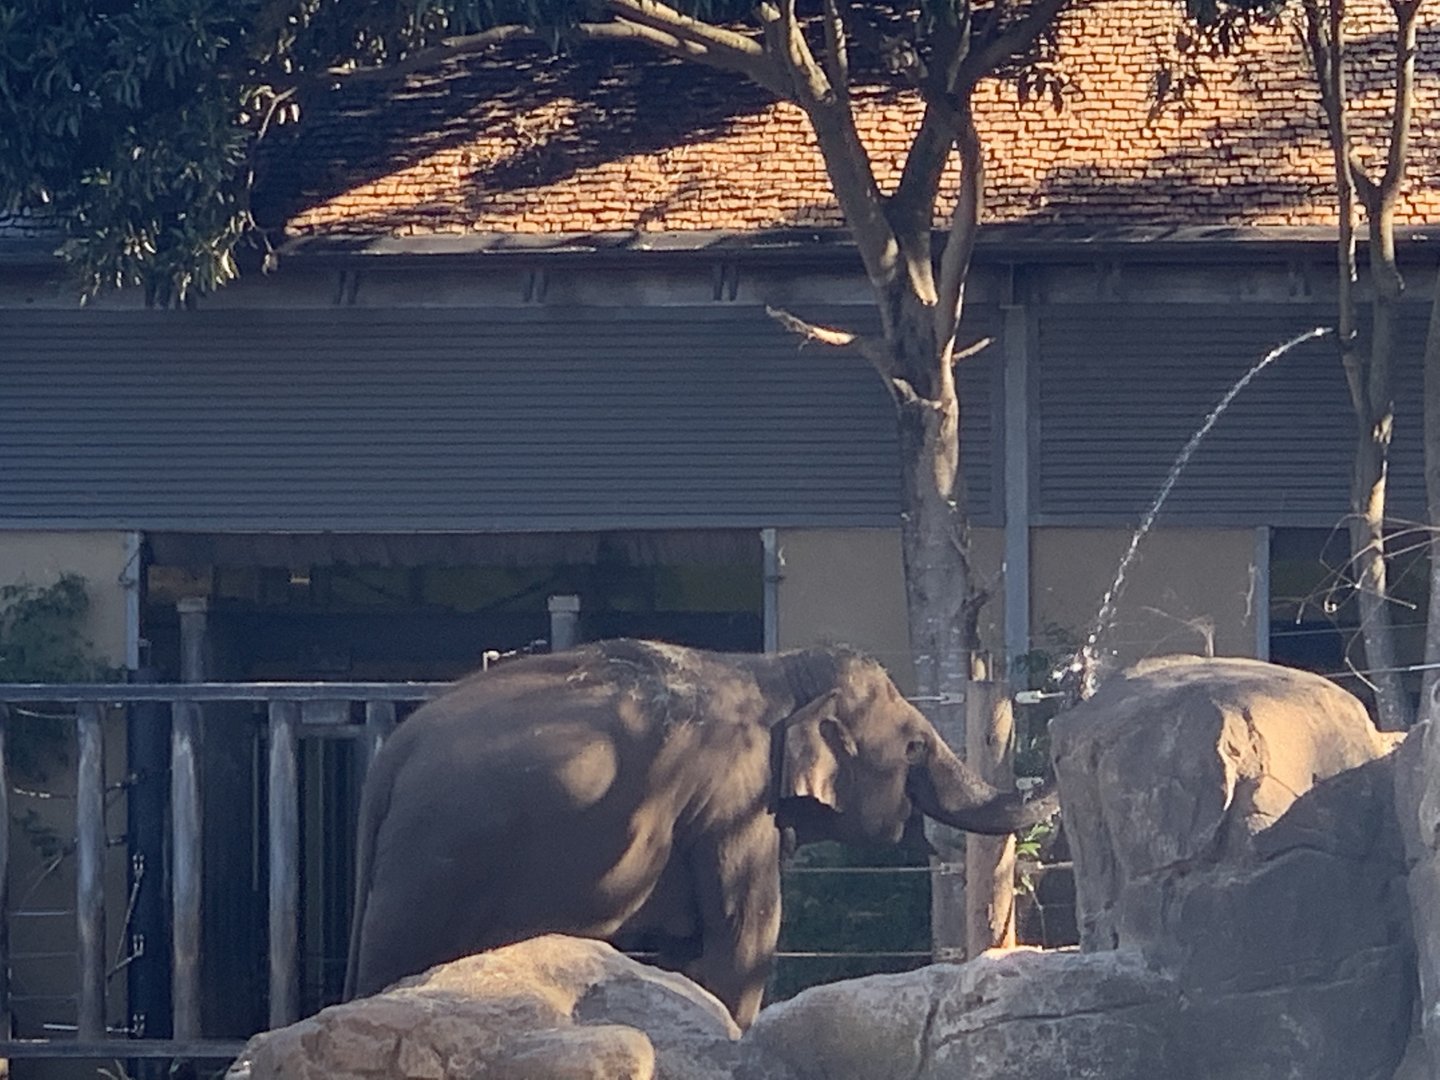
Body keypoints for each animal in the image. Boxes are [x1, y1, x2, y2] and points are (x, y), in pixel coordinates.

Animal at [343, 638, 1056, 1028]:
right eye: (914, 748)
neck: (773, 669)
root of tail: (392, 754)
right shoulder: (733, 799)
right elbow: (744, 938)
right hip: (430, 867)